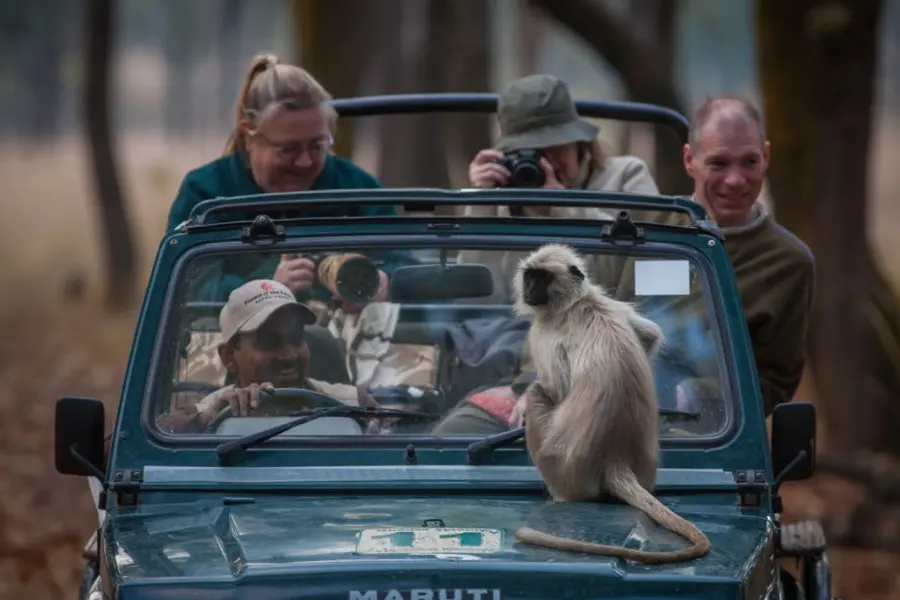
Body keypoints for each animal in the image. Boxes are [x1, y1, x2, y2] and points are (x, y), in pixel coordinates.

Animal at [510, 243, 711, 564]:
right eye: (529, 276)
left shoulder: (545, 333)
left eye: (541, 278)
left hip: (562, 469)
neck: (578, 303)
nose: (529, 289)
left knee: (537, 392)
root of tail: (615, 458)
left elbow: (556, 391)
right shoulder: (612, 304)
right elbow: (649, 335)